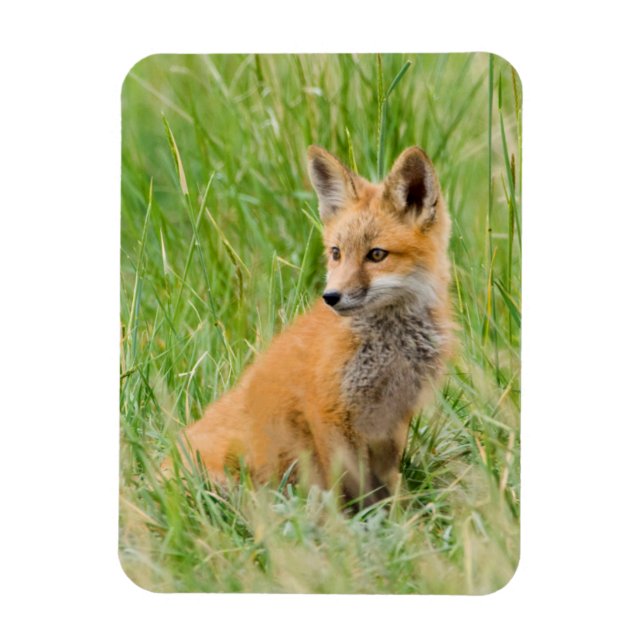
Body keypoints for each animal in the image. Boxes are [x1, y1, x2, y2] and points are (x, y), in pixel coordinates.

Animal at [175, 145, 453, 507]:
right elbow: (349, 486)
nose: (331, 297)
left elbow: (388, 485)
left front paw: (399, 515)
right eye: (336, 253)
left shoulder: (392, 418)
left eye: (376, 255)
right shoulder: (327, 411)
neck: (390, 348)